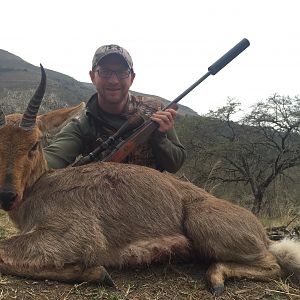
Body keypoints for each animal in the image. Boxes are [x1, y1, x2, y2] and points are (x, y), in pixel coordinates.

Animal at [0, 65, 298, 296]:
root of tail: (261, 231)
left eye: (35, 143)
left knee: (274, 264)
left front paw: (98, 273)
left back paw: (215, 278)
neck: (42, 186)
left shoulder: (72, 236)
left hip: (205, 227)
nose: (7, 196)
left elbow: (4, 254)